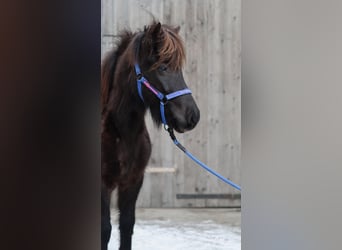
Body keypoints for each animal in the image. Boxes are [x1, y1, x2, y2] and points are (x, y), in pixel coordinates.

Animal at [101, 22, 200, 250]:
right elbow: (105, 230)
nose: (193, 116)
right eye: (163, 67)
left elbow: (126, 225)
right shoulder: (103, 183)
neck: (122, 134)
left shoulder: (133, 180)